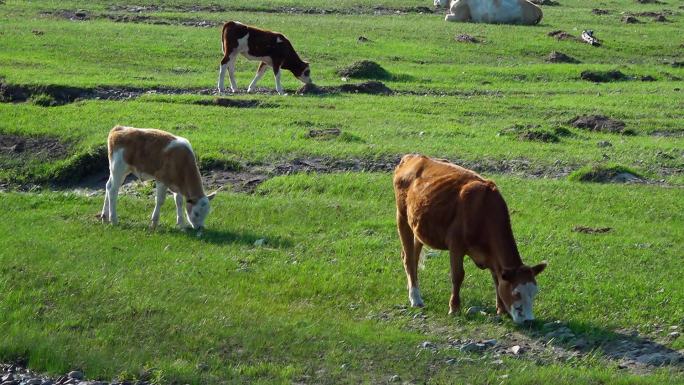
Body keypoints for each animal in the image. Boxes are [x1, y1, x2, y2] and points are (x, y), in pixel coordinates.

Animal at [392, 154, 548, 322]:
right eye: (516, 293)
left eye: (534, 293)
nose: (528, 320)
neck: (484, 211)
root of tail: (412, 156)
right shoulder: (456, 244)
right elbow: (458, 276)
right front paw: (454, 308)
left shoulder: (492, 257)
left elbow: (496, 279)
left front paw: (501, 309)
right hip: (402, 216)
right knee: (408, 258)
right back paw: (415, 298)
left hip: (418, 225)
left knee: (413, 257)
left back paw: (412, 289)